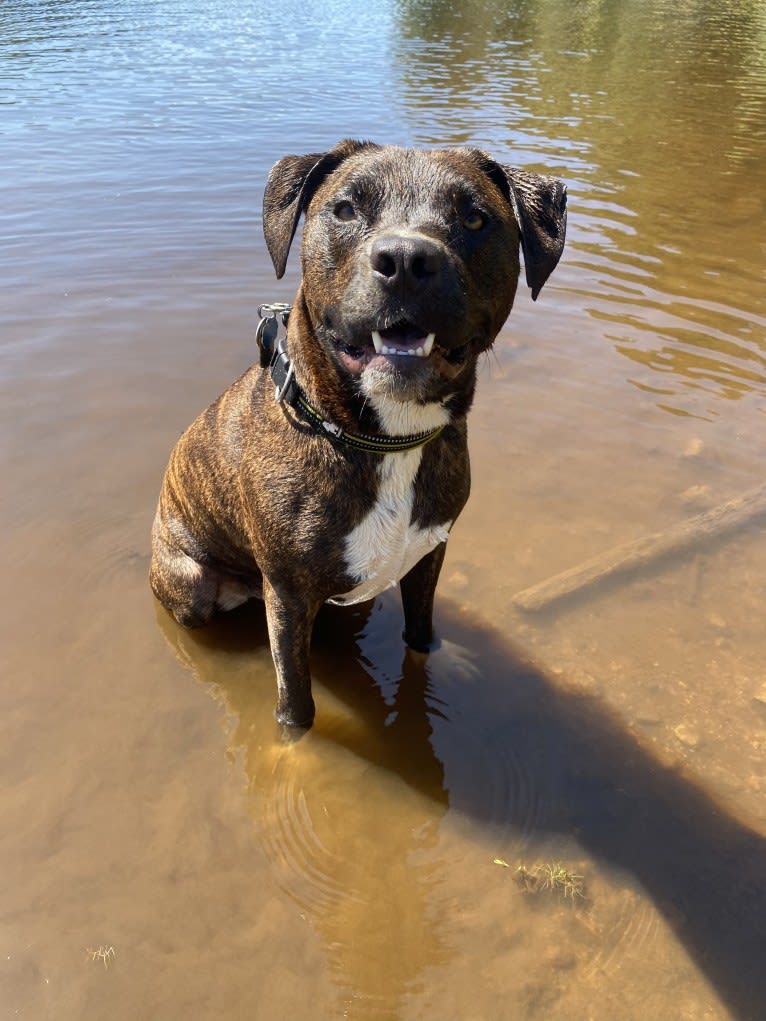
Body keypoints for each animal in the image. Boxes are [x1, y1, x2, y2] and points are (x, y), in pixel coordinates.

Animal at [151, 139, 571, 731]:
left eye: (474, 217)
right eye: (346, 209)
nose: (406, 261)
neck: (385, 439)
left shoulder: (429, 552)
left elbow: (420, 632)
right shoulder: (288, 595)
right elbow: (296, 707)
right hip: (190, 582)